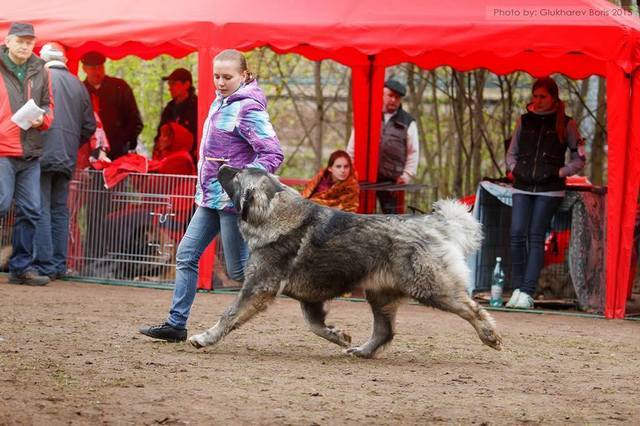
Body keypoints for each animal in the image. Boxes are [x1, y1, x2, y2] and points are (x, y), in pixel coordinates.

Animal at [188, 166, 502, 356]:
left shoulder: (258, 287)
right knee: (384, 331)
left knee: (472, 308)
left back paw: (490, 335)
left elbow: (230, 314)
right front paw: (339, 336)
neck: (274, 214)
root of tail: (433, 224)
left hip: (432, 288)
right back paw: (362, 351)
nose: (222, 165)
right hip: (379, 296)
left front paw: (205, 337)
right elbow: (315, 325)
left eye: (237, 175)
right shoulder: (310, 298)